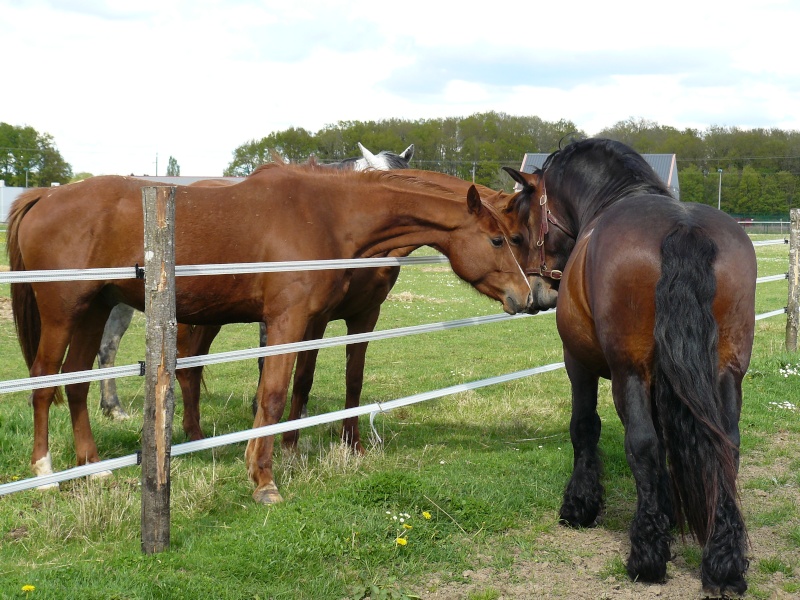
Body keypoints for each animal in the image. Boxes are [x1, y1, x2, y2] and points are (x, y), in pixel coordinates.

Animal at [7, 163, 532, 502]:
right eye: (499, 239)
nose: (529, 296)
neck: (327, 213)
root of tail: (46, 195)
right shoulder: (288, 321)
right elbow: (275, 393)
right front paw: (264, 479)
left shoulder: (319, 322)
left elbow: (305, 385)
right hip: (65, 313)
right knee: (44, 381)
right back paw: (45, 473)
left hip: (94, 309)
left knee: (77, 382)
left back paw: (92, 470)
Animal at [506, 137, 756, 596]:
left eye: (519, 230)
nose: (535, 292)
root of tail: (684, 230)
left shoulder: (579, 363)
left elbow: (585, 427)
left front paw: (580, 505)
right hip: (727, 371)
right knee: (726, 444)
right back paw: (724, 562)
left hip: (629, 373)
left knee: (642, 444)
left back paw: (646, 556)